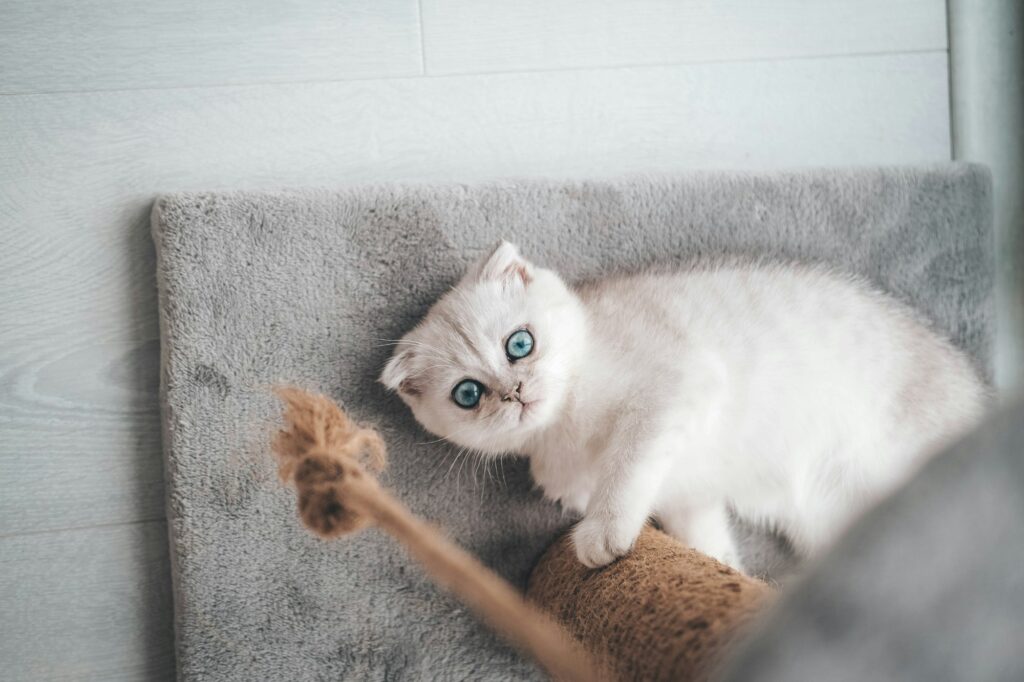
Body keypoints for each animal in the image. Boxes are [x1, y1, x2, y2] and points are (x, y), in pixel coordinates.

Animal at [380, 240, 987, 569]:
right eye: (468, 394)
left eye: (519, 343)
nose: (515, 393)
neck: (566, 427)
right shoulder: (685, 494)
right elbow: (701, 536)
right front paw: (727, 577)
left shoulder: (674, 386)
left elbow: (626, 465)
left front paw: (603, 534)